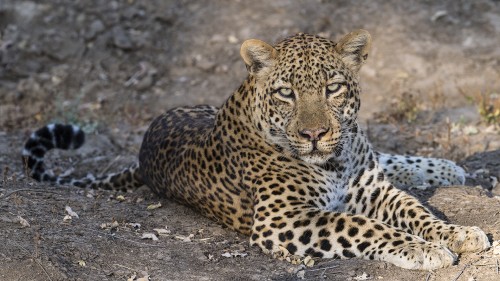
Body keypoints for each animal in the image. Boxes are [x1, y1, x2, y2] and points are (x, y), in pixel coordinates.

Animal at [22, 29, 488, 268]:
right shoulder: (282, 221)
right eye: (286, 93)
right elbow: (361, 226)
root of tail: (141, 152)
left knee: (389, 159)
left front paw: (460, 233)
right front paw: (423, 249)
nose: (314, 134)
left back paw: (445, 167)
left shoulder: (375, 190)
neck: (335, 162)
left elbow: (418, 212)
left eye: (332, 88)